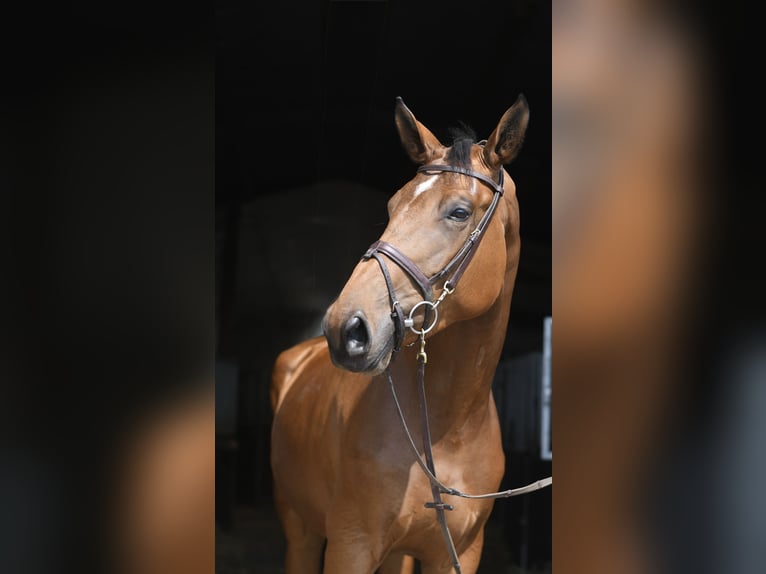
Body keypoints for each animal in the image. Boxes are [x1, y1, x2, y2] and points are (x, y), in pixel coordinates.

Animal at [269, 94, 538, 574]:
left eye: (459, 212)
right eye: (392, 207)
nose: (345, 328)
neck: (448, 430)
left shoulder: (460, 552)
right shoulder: (350, 546)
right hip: (299, 529)